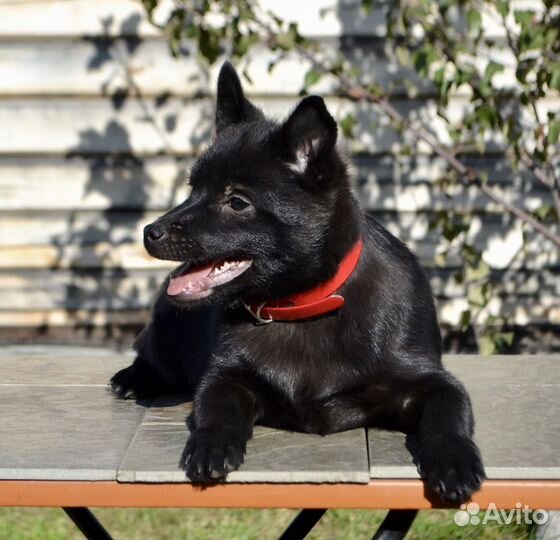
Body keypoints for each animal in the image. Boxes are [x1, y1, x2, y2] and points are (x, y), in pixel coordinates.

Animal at [110, 62, 486, 502]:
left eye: (237, 201)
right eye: (192, 189)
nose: (149, 232)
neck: (299, 307)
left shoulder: (433, 383)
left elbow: (448, 415)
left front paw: (454, 460)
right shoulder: (225, 377)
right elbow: (216, 407)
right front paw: (210, 443)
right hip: (168, 335)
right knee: (150, 355)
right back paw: (132, 379)